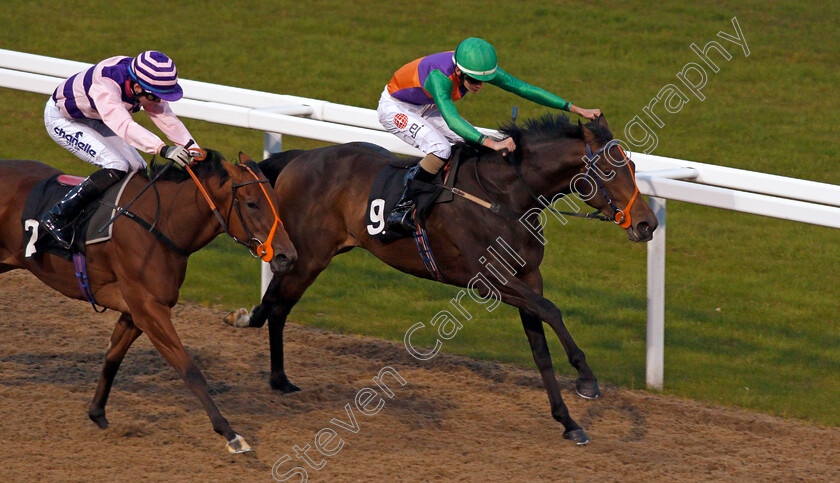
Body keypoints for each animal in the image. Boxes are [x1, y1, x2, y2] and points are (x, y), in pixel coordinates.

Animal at [0, 151, 298, 454]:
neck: (162, 224)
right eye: (252, 204)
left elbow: (113, 357)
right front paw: (230, 434)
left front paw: (97, 413)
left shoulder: (135, 311)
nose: (287, 256)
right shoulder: (149, 309)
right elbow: (190, 370)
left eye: (276, 200)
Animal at [228, 114, 656, 446]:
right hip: (308, 257)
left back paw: (270, 359)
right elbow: (553, 312)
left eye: (634, 168)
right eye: (611, 170)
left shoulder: (527, 278)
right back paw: (272, 365)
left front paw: (568, 422)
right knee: (278, 307)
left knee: (277, 304)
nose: (647, 224)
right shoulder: (489, 280)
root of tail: (301, 157)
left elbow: (540, 351)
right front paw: (587, 379)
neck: (504, 197)